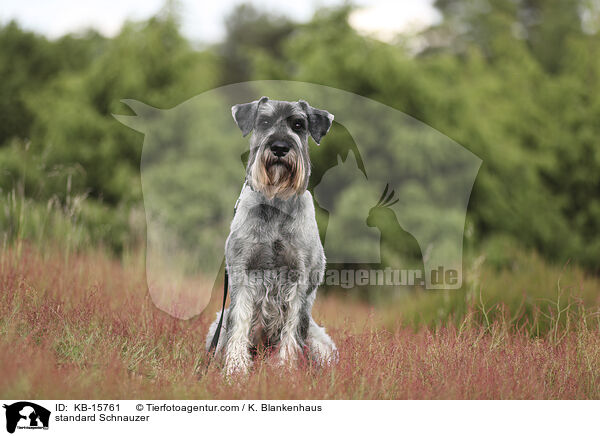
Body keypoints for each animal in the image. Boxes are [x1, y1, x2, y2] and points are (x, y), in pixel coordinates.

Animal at [205, 97, 338, 372]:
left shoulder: (299, 279)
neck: (276, 202)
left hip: (320, 341)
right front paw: (236, 368)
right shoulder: (243, 272)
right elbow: (240, 322)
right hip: (218, 325)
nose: (279, 147)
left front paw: (285, 369)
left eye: (298, 124)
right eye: (264, 122)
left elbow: (292, 329)